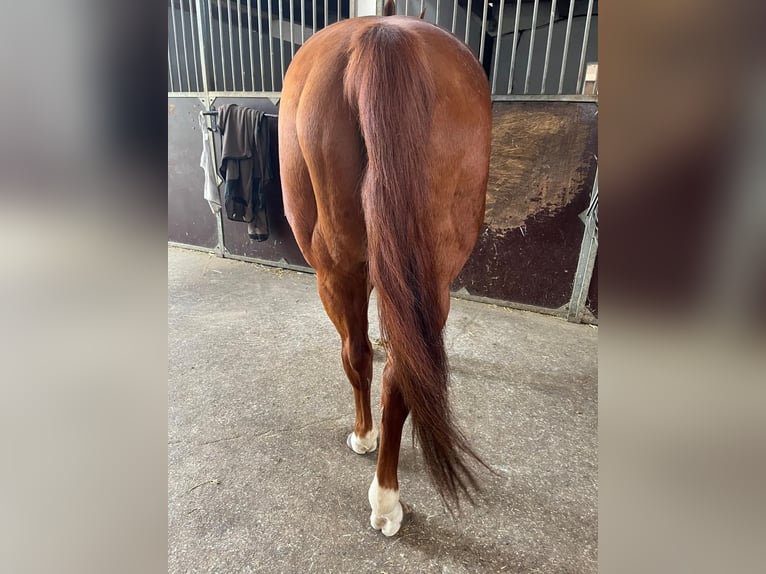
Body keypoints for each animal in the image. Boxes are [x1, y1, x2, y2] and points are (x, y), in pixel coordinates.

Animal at [278, 5, 492, 536]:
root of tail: (383, 36)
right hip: (431, 276)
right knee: (401, 371)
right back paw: (388, 496)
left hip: (334, 272)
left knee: (357, 355)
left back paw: (372, 459)